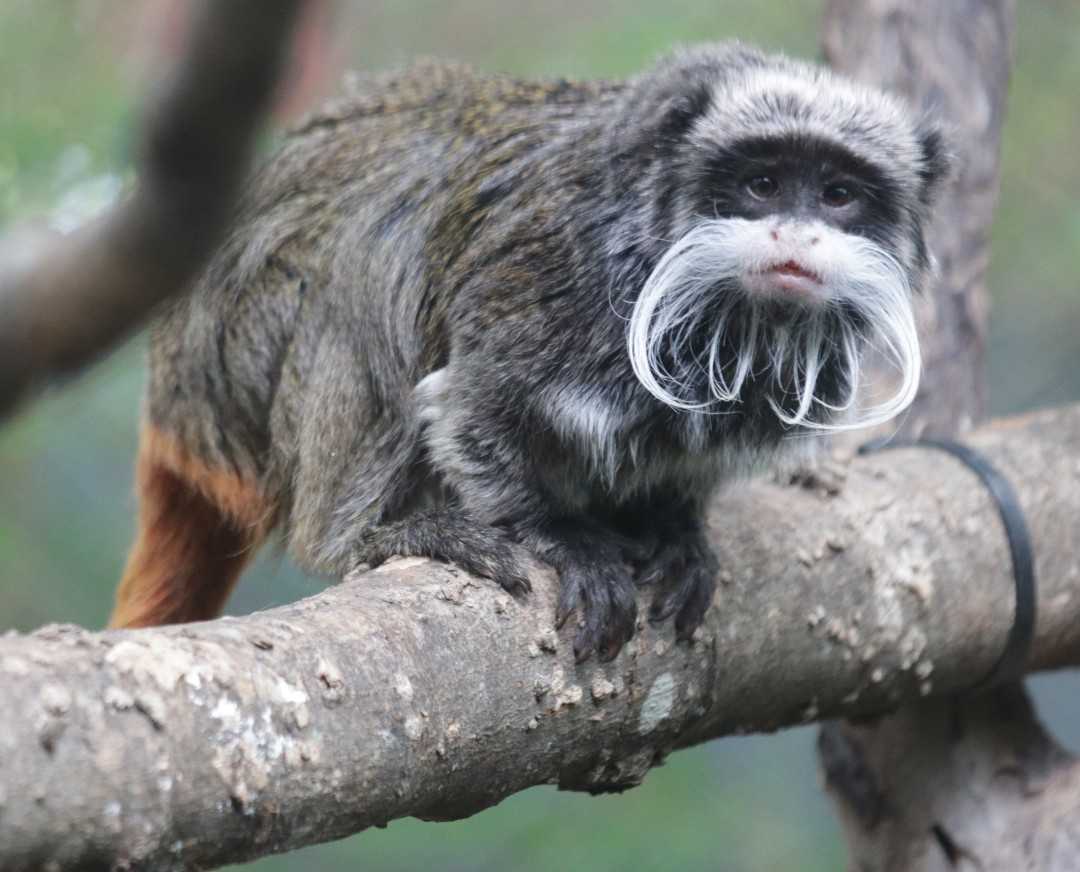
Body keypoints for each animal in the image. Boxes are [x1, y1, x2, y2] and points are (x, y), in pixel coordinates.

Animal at [113, 42, 950, 661]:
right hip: (236, 363)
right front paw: (563, 537)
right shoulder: (550, 281)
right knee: (368, 261)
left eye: (839, 195)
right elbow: (469, 409)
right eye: (762, 183)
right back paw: (370, 532)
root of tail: (170, 398)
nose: (796, 235)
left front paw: (675, 527)